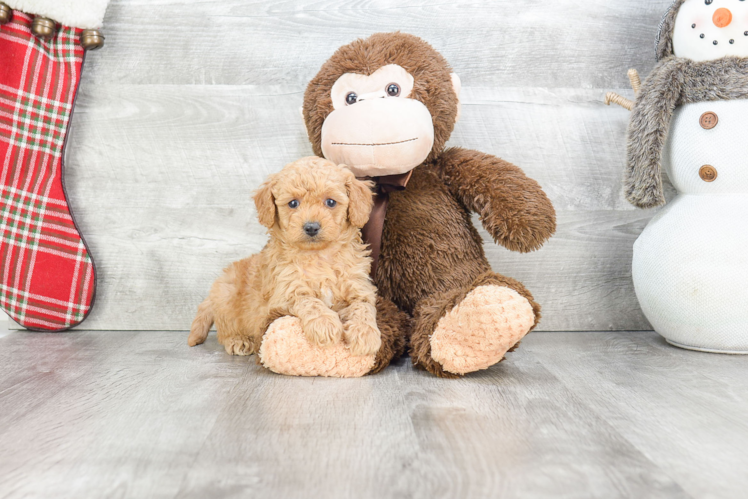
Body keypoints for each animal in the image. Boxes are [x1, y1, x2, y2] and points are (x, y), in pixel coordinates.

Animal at [187, 158, 380, 358]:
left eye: (330, 202)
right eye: (293, 203)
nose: (311, 227)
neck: (318, 256)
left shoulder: (360, 287)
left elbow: (363, 307)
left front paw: (366, 335)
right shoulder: (285, 294)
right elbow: (309, 301)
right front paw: (324, 324)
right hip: (227, 296)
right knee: (224, 330)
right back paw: (238, 340)